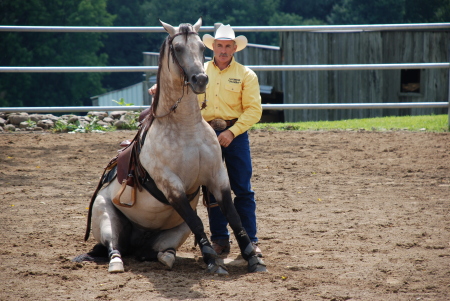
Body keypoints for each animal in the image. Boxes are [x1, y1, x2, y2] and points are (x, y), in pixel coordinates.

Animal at [73, 18, 268, 274]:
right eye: (177, 49)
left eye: (202, 48)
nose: (200, 79)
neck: (186, 130)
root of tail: (135, 244)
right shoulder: (171, 186)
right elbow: (197, 221)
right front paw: (213, 261)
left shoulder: (218, 177)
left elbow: (234, 217)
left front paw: (253, 258)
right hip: (106, 218)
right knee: (114, 246)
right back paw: (117, 262)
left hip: (175, 231)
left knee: (155, 251)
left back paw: (167, 256)